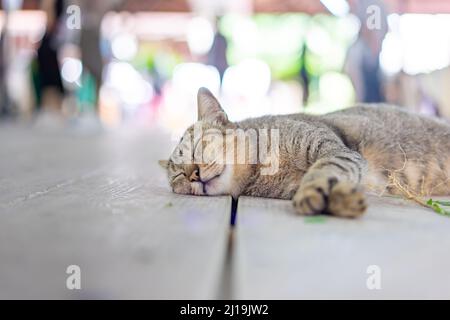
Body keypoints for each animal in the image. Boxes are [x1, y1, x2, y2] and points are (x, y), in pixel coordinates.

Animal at [161, 87, 450, 218]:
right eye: (178, 176)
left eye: (199, 146)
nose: (193, 174)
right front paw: (342, 200)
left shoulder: (331, 148)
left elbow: (323, 170)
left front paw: (318, 193)